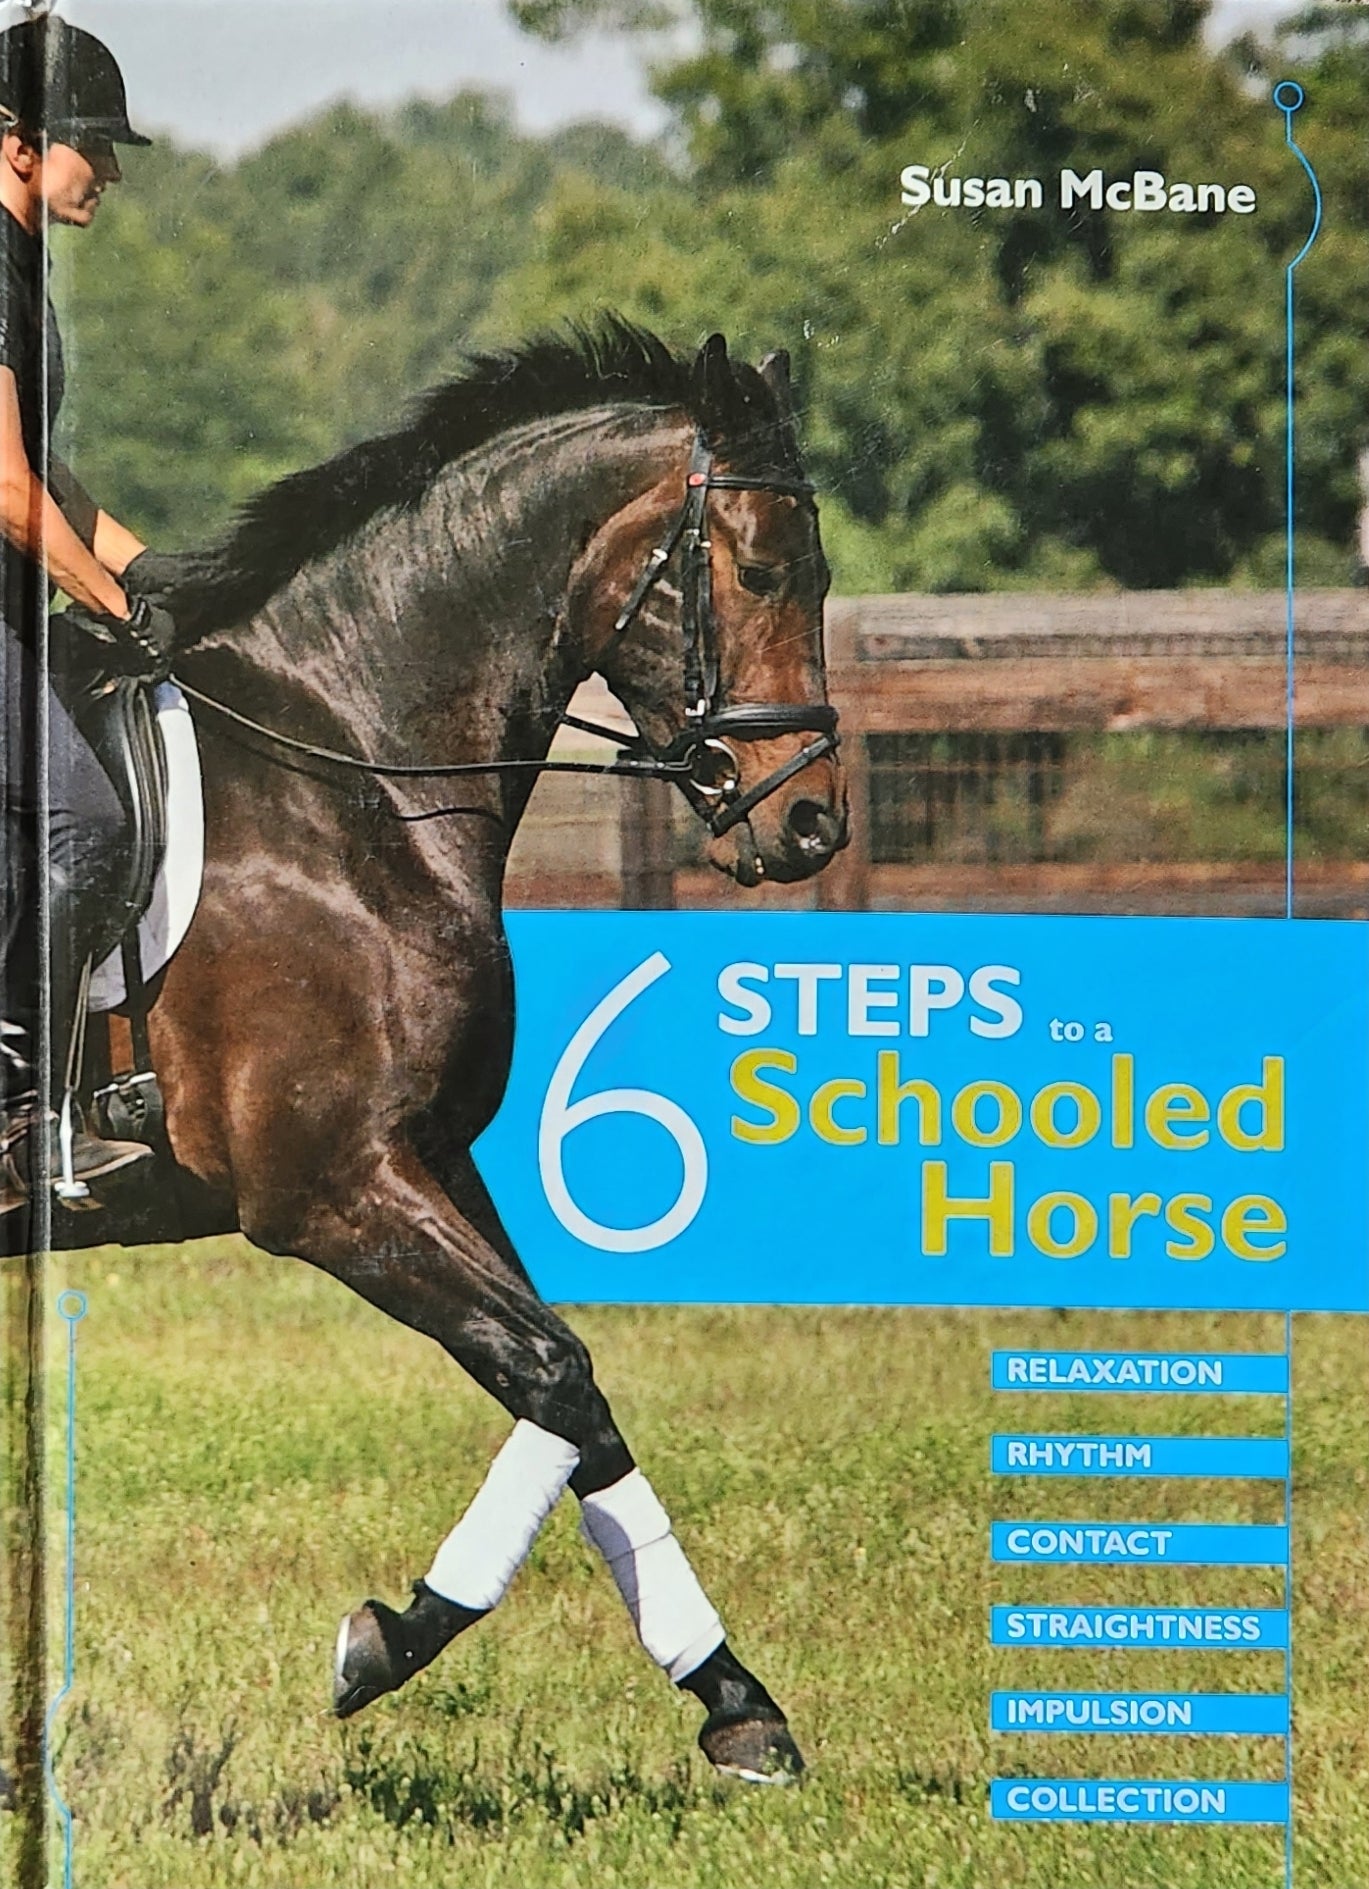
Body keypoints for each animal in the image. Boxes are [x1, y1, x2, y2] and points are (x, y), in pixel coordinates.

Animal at [46, 321, 847, 1783]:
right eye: (763, 567)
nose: (810, 821)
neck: (350, 772)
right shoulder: (326, 1189)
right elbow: (551, 1373)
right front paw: (383, 1639)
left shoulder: (427, 1158)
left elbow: (574, 1396)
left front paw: (736, 1703)